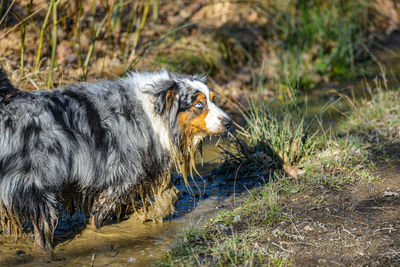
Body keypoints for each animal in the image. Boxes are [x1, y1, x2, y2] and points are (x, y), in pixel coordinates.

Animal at [0, 68, 231, 250]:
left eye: (213, 99)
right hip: (39, 187)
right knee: (43, 229)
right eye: (199, 105)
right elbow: (98, 215)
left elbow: (166, 197)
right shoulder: (120, 176)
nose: (229, 122)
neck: (155, 114)